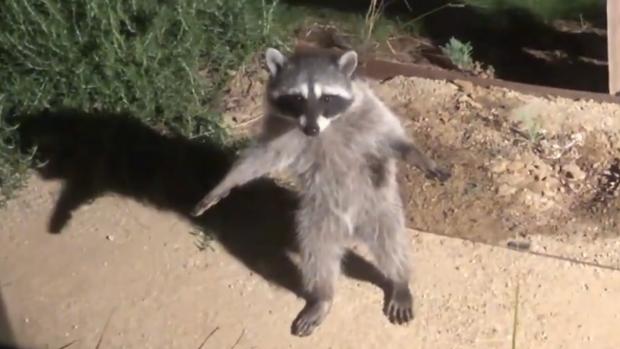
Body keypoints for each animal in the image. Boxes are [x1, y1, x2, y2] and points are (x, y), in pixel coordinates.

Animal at [190, 47, 450, 336]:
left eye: (327, 98)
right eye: (297, 99)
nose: (311, 129)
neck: (326, 127)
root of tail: (350, 229)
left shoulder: (368, 109)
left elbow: (390, 136)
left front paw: (418, 156)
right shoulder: (281, 128)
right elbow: (261, 157)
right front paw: (225, 183)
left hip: (377, 206)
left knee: (390, 241)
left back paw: (399, 279)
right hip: (318, 217)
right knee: (318, 253)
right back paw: (323, 296)